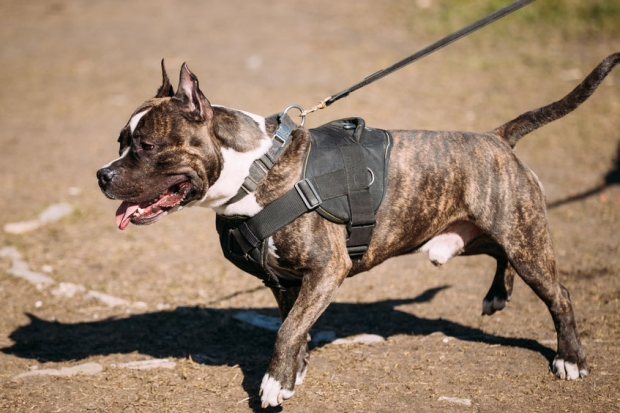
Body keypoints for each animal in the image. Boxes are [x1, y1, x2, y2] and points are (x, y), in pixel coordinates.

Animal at [98, 50, 620, 406]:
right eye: (121, 140)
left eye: (145, 145)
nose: (102, 174)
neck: (254, 170)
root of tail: (497, 138)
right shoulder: (286, 281)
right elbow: (295, 326)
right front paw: (293, 374)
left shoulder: (327, 270)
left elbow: (287, 330)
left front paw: (273, 383)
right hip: (470, 232)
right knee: (499, 255)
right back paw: (497, 294)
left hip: (523, 236)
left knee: (558, 294)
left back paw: (571, 359)